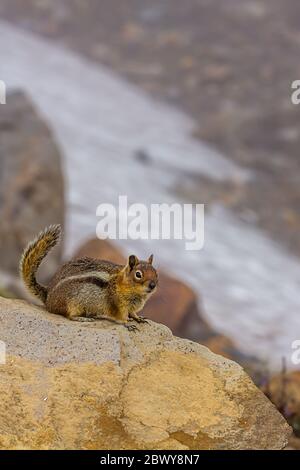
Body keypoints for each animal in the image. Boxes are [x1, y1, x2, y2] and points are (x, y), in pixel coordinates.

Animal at [19, 226, 158, 332]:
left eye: (155, 272)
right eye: (138, 274)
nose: (152, 285)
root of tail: (48, 298)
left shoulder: (132, 306)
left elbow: (133, 313)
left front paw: (138, 318)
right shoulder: (117, 304)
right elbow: (121, 316)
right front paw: (128, 324)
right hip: (73, 304)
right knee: (69, 316)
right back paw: (83, 318)